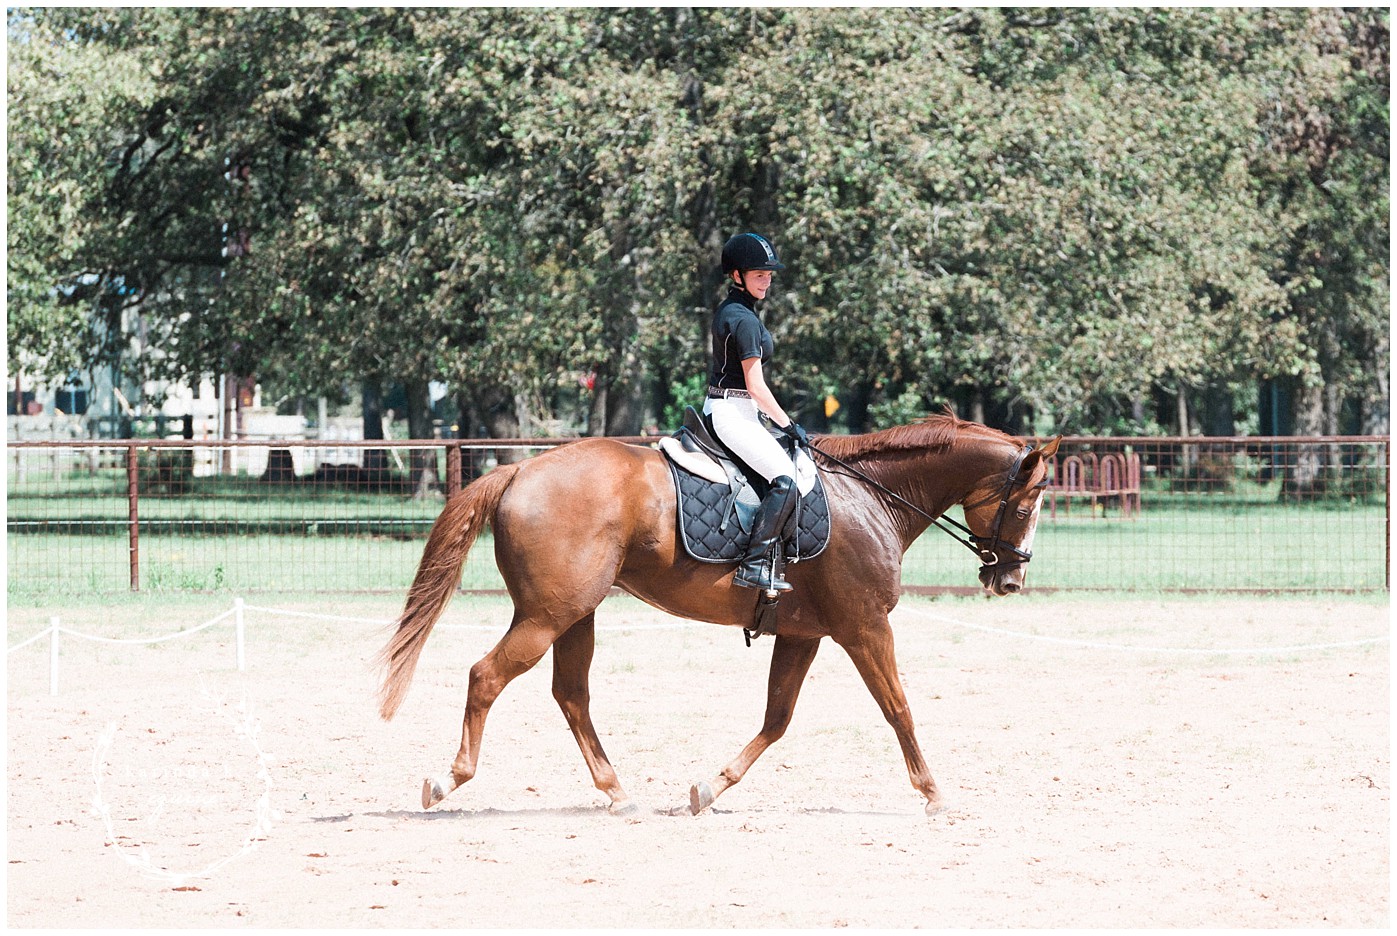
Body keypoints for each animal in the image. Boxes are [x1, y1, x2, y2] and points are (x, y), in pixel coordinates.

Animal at [376, 412, 1061, 816]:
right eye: (1028, 505)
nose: (1011, 579)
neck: (870, 497)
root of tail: (520, 468)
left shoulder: (804, 634)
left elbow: (777, 719)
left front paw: (710, 786)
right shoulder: (864, 627)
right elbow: (898, 707)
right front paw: (934, 792)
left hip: (574, 614)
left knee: (571, 694)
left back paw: (616, 791)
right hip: (548, 614)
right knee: (486, 676)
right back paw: (448, 780)